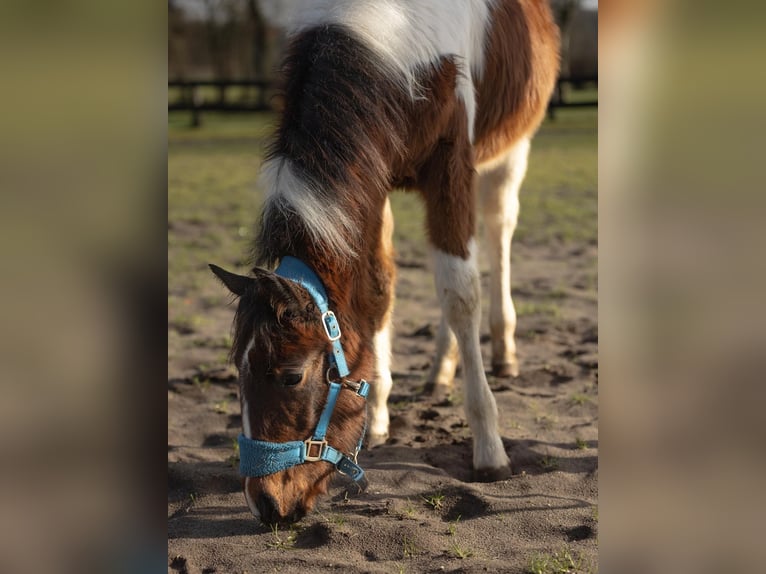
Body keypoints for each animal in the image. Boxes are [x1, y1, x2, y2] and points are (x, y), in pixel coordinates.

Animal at [210, 0, 559, 524]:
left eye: (291, 375)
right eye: (236, 369)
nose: (266, 504)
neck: (394, 31)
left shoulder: (451, 166)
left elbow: (461, 292)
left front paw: (489, 449)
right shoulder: (372, 184)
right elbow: (376, 293)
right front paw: (375, 416)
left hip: (507, 154)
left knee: (496, 238)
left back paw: (503, 352)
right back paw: (440, 370)